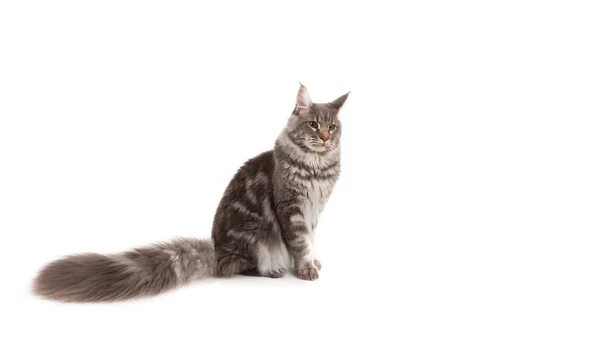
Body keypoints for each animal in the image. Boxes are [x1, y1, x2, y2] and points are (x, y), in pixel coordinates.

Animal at [32, 85, 350, 302]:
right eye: (313, 125)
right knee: (238, 266)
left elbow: (309, 241)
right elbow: (300, 243)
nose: (325, 137)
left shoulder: (314, 210)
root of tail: (216, 250)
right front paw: (305, 268)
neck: (316, 167)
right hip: (256, 238)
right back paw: (272, 270)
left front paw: (311, 262)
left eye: (332, 127)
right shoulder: (291, 208)